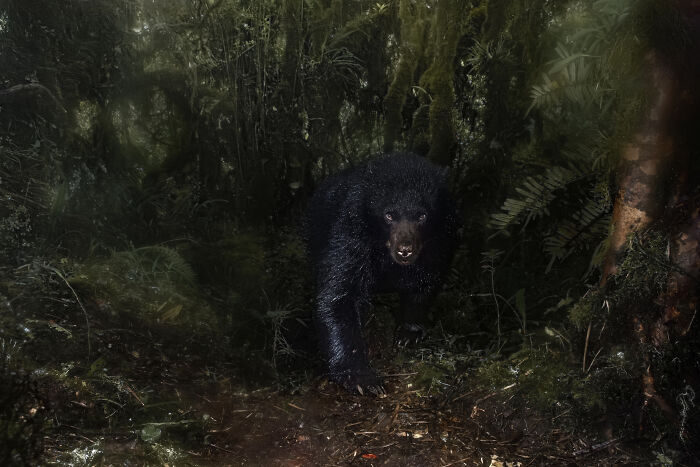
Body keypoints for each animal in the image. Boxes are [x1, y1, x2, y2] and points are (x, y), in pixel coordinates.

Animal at [305, 152, 458, 395]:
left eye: (422, 216)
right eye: (389, 215)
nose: (405, 249)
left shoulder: (441, 238)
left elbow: (426, 281)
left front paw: (408, 333)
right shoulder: (350, 233)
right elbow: (338, 295)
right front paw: (362, 378)